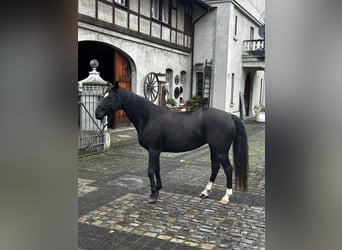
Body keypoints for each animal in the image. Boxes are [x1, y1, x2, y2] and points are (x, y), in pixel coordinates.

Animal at [95, 81, 247, 203]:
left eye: (110, 97)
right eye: (103, 95)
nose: (97, 114)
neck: (148, 116)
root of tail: (230, 116)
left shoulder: (153, 150)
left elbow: (150, 170)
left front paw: (153, 195)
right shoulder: (156, 151)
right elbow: (157, 169)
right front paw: (157, 190)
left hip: (221, 150)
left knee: (228, 169)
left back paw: (226, 197)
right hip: (213, 148)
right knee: (215, 167)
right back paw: (205, 192)